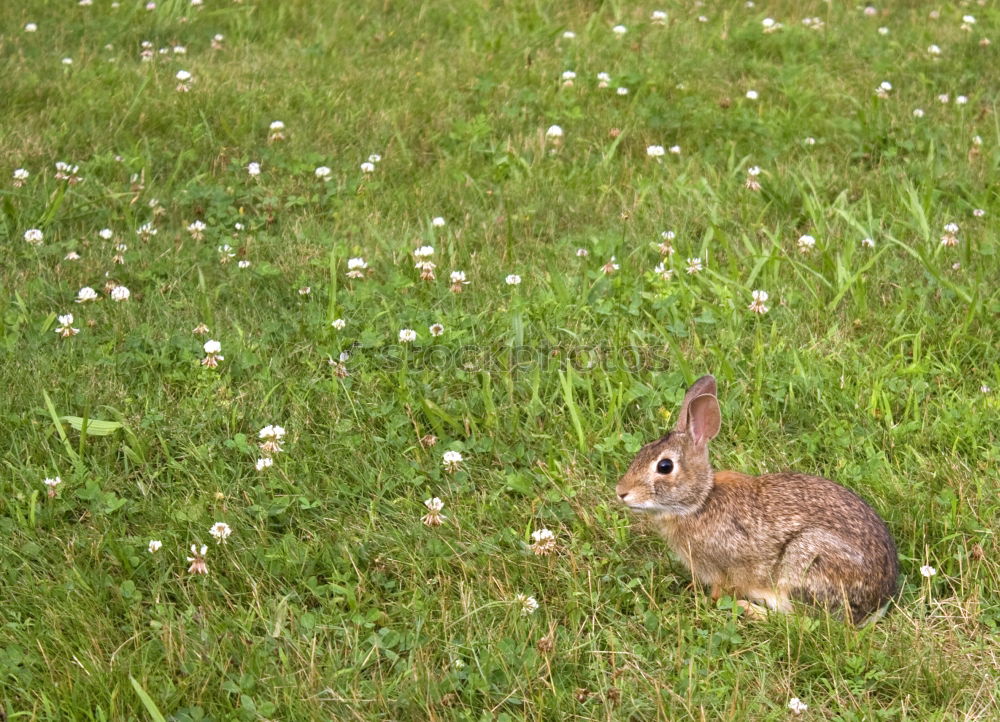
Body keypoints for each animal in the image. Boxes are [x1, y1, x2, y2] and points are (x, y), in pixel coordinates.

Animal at [616, 374, 900, 620]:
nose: (621, 492)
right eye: (641, 451)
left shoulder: (725, 569)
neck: (700, 502)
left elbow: (721, 593)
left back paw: (750, 609)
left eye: (664, 466)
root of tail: (876, 602)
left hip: (805, 561)